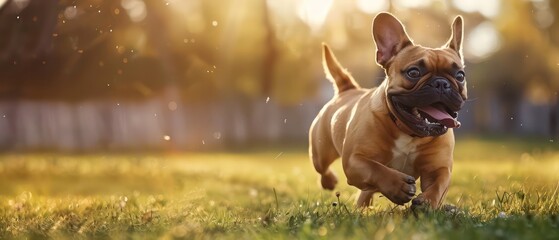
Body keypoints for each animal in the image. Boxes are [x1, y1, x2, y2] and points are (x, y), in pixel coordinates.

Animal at [310, 12, 468, 208]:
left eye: (460, 76)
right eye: (413, 72)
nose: (441, 83)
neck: (409, 133)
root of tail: (348, 89)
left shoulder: (438, 168)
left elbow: (438, 185)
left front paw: (427, 202)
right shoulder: (355, 160)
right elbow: (376, 169)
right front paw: (398, 186)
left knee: (366, 190)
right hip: (320, 152)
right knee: (323, 168)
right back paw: (329, 181)